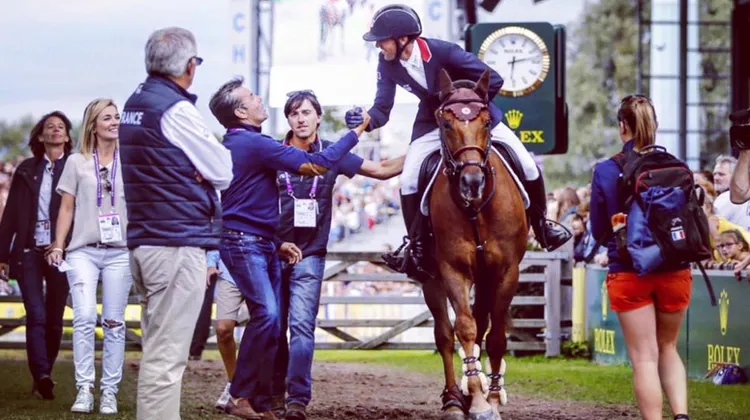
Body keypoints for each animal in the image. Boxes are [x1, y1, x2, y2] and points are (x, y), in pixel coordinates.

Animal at [422, 68, 528, 420]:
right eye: (445, 123)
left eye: (485, 121)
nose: (472, 182)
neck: (476, 208)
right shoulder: (452, 270)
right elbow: (465, 329)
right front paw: (478, 400)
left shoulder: (507, 272)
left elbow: (494, 338)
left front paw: (491, 398)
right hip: (431, 279)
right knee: (444, 334)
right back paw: (455, 400)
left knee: (482, 325)